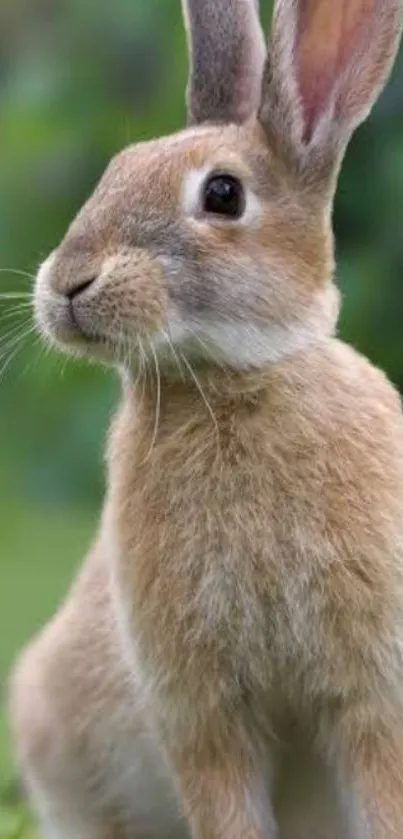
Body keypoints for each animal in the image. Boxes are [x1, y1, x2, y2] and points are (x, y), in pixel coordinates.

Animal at [7, 0, 403, 836]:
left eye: (222, 194)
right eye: (115, 169)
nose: (67, 283)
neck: (229, 383)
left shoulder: (373, 689)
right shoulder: (202, 713)